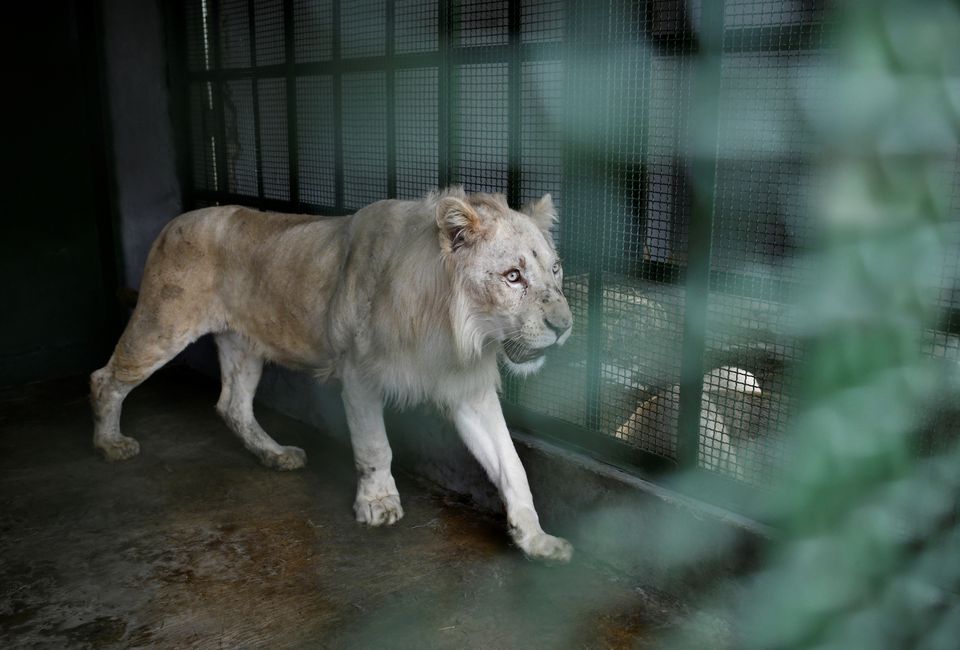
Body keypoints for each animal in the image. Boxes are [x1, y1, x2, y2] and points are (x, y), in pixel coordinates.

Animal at [90, 187, 572, 560]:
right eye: (512, 276)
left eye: (555, 269)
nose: (564, 326)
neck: (453, 329)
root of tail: (175, 220)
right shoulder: (359, 373)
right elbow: (375, 448)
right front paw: (378, 505)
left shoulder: (467, 391)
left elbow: (511, 466)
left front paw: (537, 539)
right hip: (162, 324)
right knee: (105, 378)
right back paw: (110, 444)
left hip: (243, 346)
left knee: (232, 406)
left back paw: (276, 455)